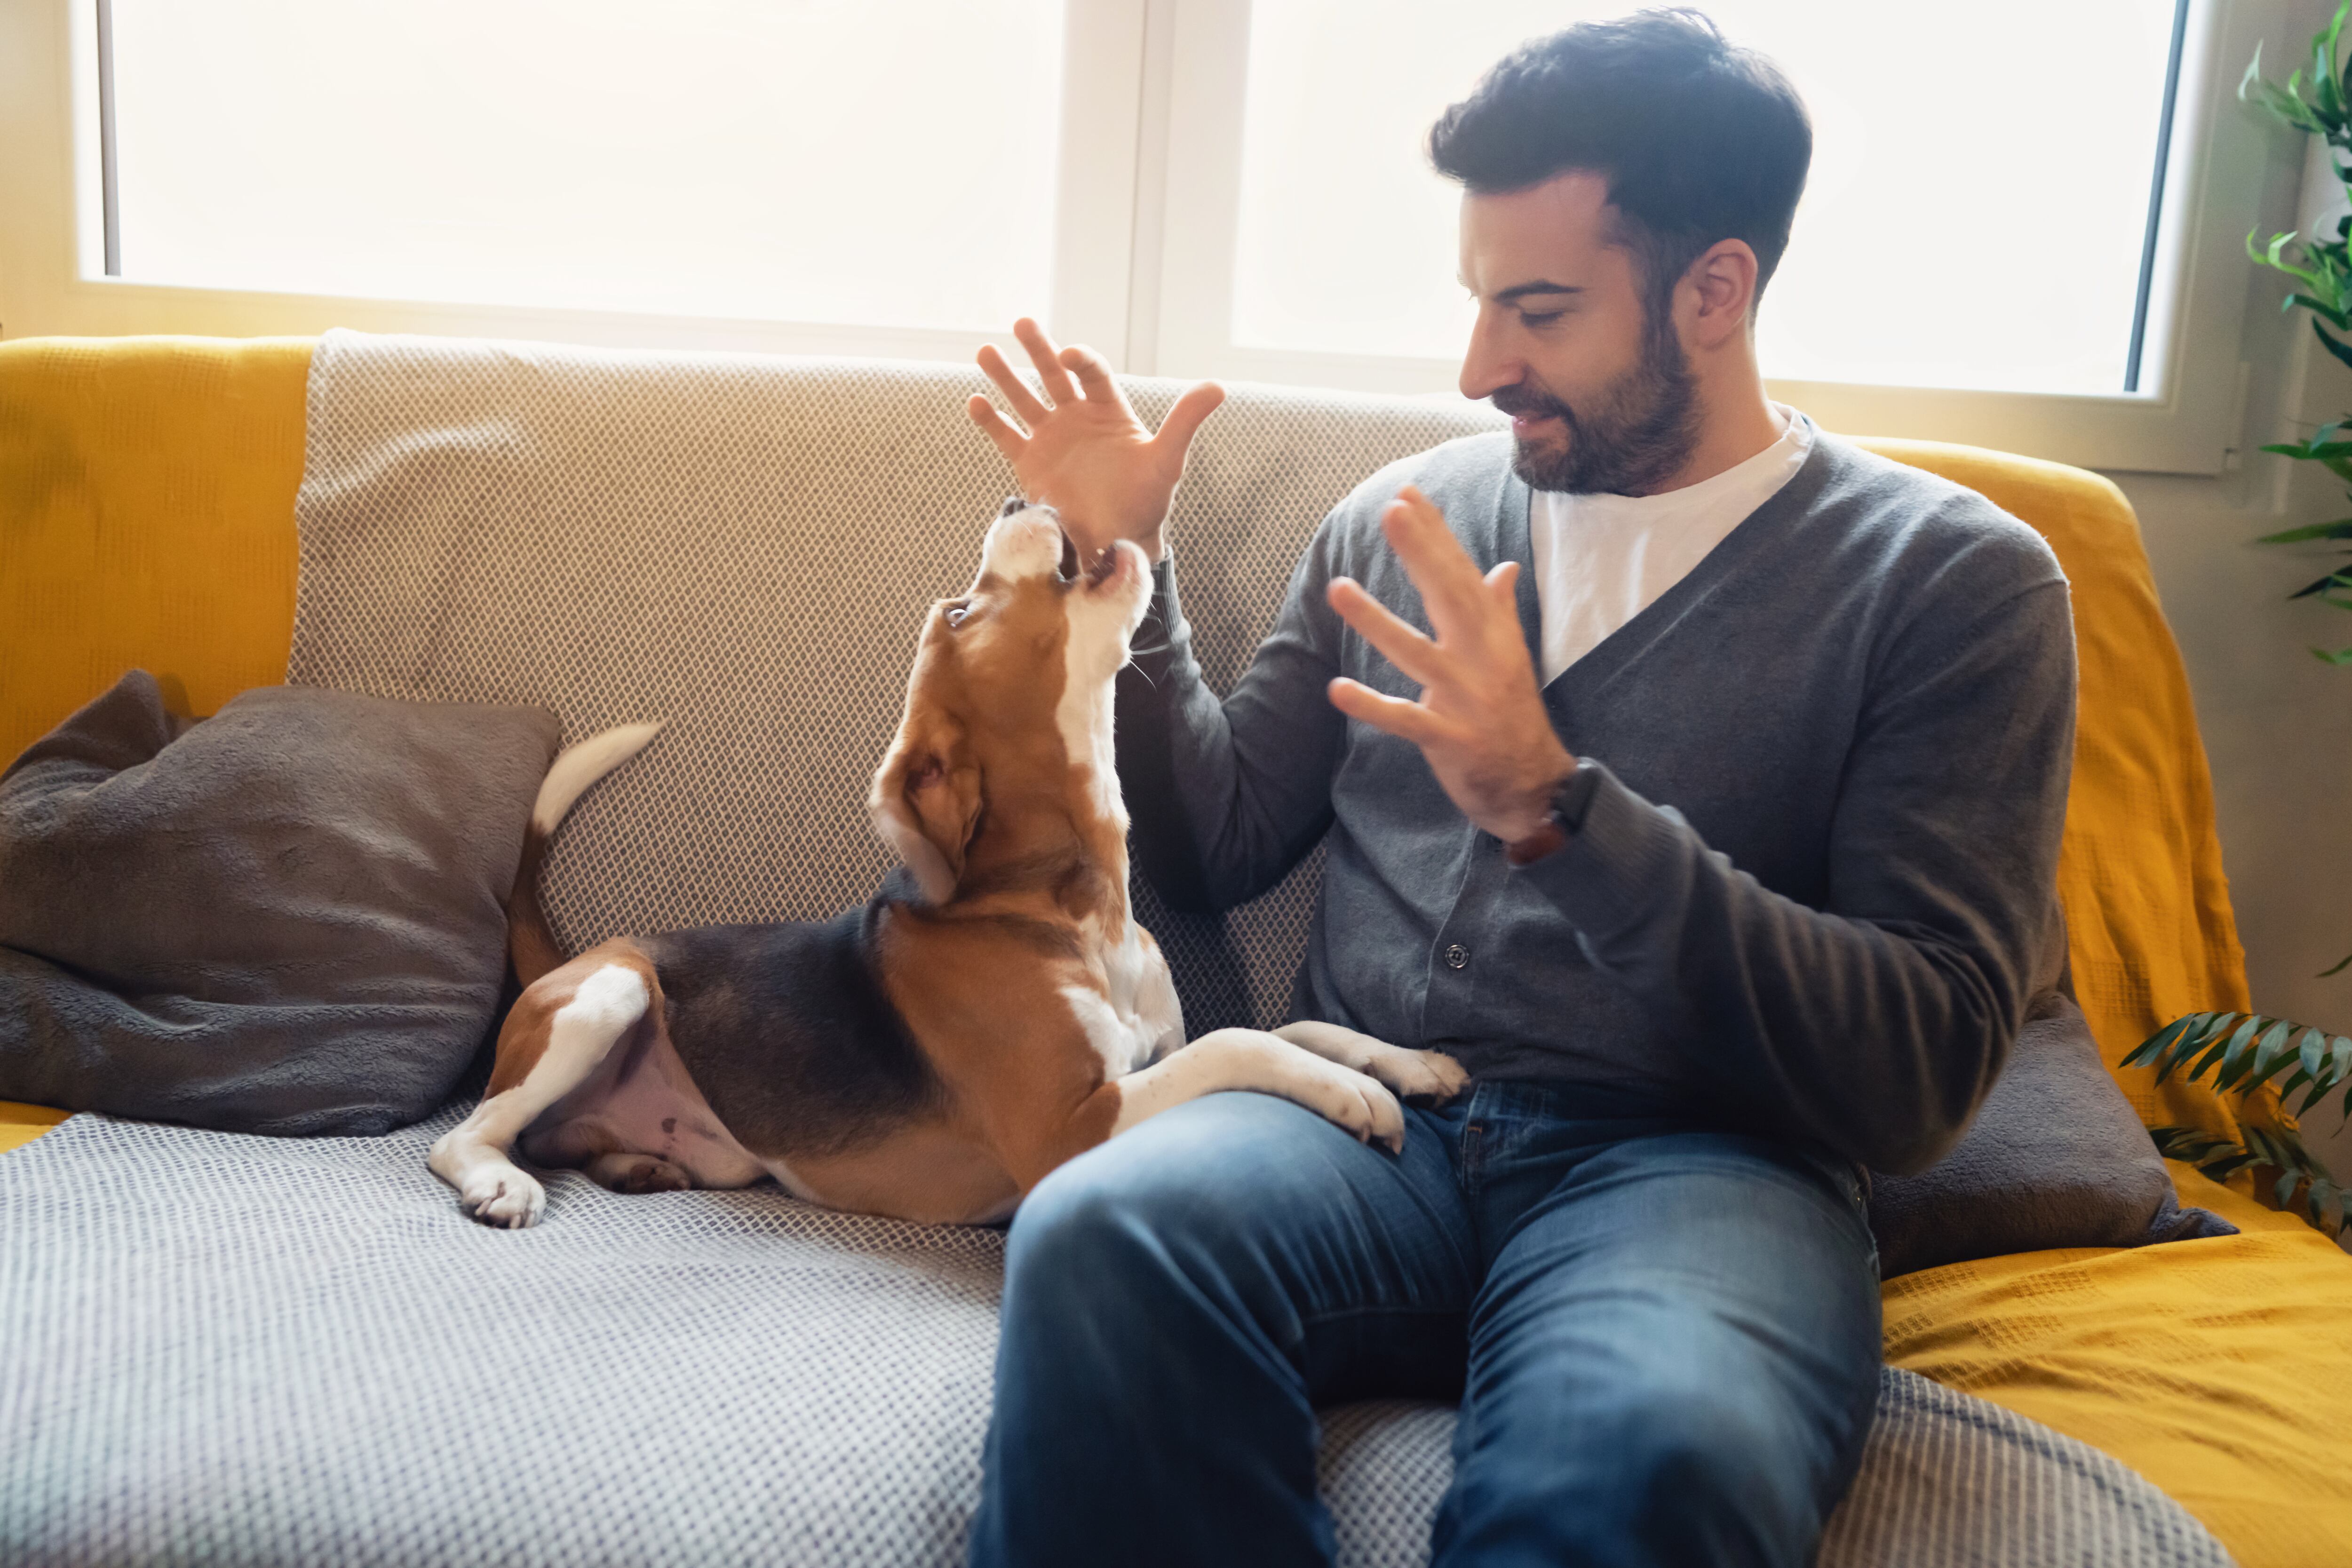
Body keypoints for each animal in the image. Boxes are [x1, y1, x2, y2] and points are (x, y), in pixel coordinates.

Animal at [430, 503, 1458, 1222]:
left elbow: (1292, 1027)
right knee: (470, 1134)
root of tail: (584, 953)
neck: (1073, 909)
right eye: (963, 609)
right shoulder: (1069, 1129)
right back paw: (498, 1181)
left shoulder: (1152, 1053)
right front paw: (1356, 1093)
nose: (1015, 498)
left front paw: (1405, 1060)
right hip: (609, 997)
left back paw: (636, 1163)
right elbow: (1240, 1042)